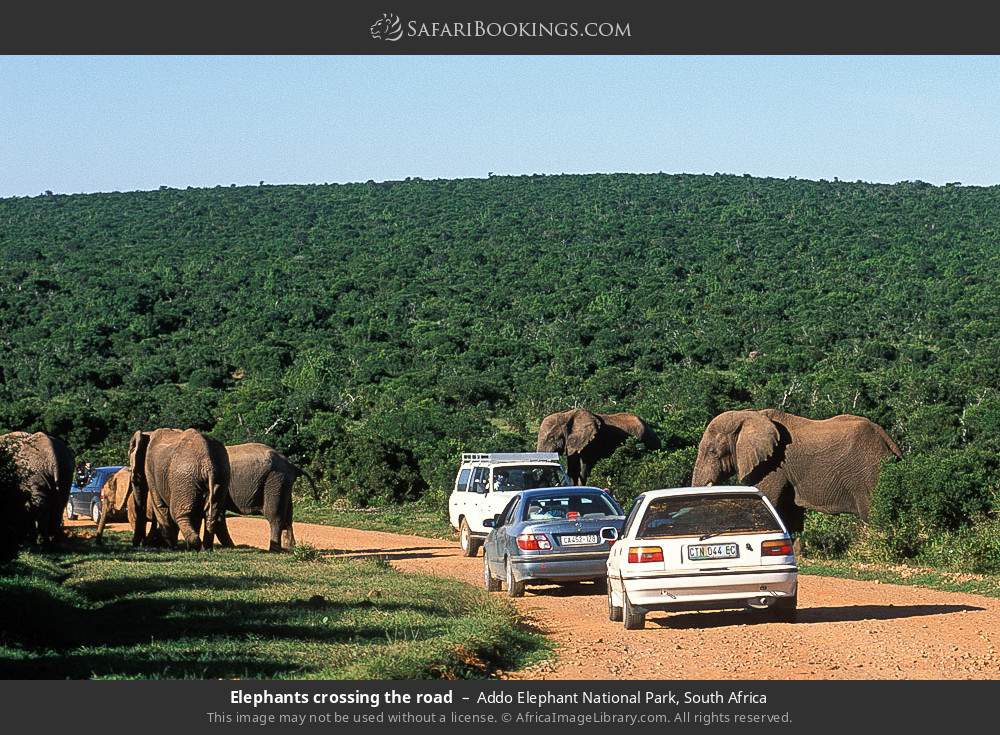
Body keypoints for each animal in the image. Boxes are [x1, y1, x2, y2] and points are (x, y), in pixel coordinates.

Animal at [692, 408, 904, 536]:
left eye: (713, 452)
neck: (748, 415)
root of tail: (888, 439)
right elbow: (790, 514)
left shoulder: (773, 464)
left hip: (868, 473)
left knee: (873, 516)